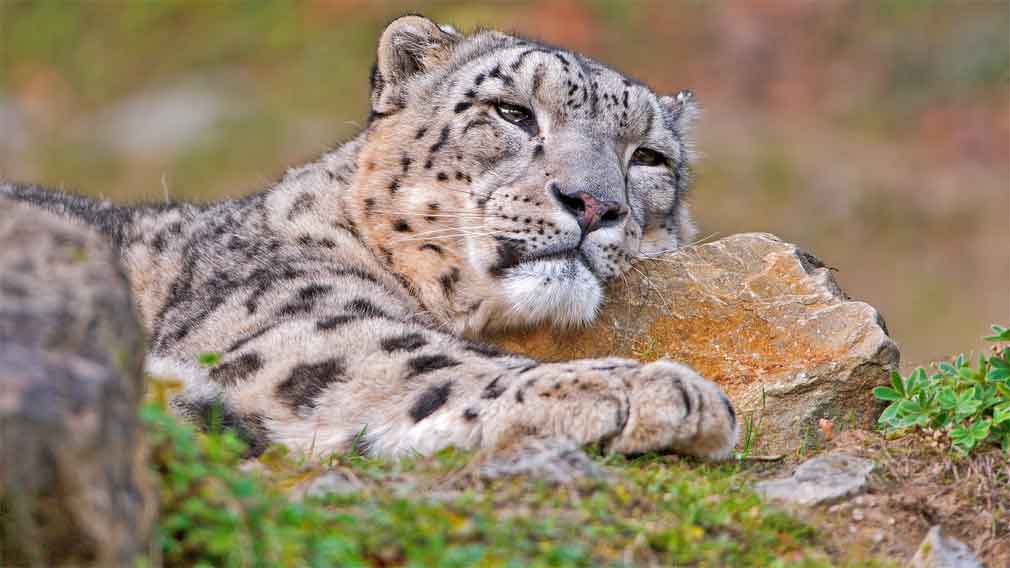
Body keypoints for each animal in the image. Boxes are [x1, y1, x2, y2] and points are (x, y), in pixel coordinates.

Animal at [1, 15, 738, 461]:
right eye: (512, 111)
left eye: (649, 157)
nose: (595, 204)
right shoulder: (307, 329)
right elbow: (436, 361)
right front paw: (663, 390)